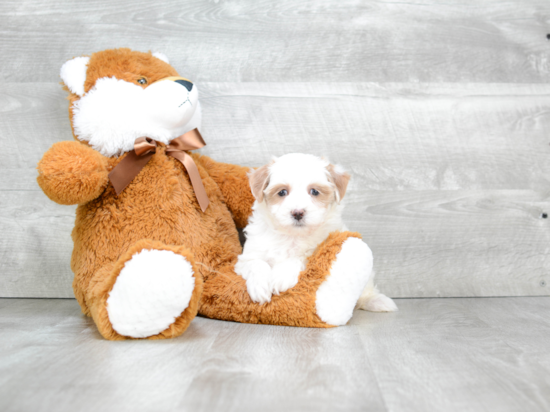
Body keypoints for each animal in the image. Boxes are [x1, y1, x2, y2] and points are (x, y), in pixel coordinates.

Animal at [235, 153, 398, 314]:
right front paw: (259, 287)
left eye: (314, 191)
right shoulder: (247, 258)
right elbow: (256, 263)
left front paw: (281, 276)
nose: (298, 212)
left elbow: (300, 258)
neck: (292, 235)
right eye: (282, 192)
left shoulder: (318, 248)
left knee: (365, 291)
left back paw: (376, 301)